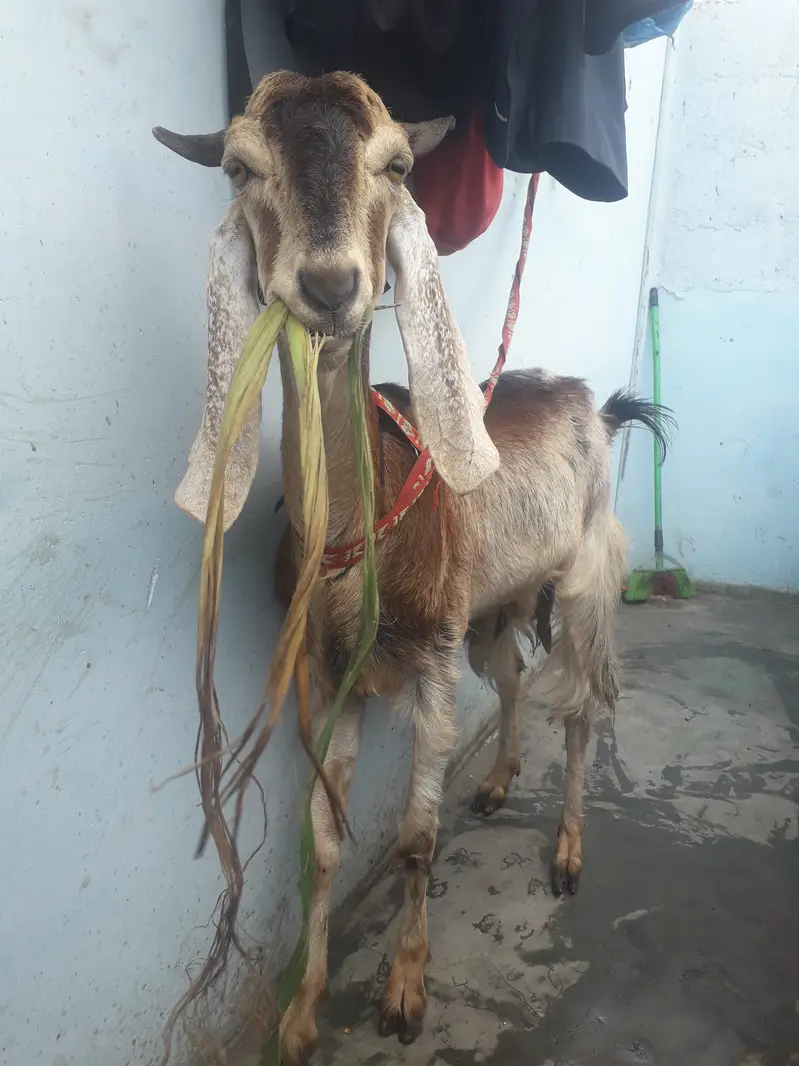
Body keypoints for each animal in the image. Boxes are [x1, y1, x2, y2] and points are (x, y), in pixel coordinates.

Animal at [154, 71, 667, 1063]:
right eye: (239, 166)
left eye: (396, 164)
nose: (329, 285)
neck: (360, 529)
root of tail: (596, 404)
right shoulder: (328, 673)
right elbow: (322, 842)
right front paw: (300, 1015)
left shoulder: (426, 665)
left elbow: (414, 841)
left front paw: (402, 994)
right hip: (495, 604)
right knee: (512, 677)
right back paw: (499, 781)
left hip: (584, 581)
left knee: (584, 706)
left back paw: (567, 853)